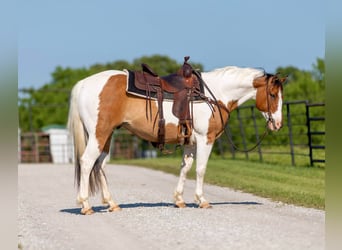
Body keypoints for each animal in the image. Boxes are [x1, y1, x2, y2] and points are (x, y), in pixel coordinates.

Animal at [67, 59, 286, 215]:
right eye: (273, 95)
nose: (277, 124)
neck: (215, 94)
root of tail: (84, 84)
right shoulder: (205, 139)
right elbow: (200, 169)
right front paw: (201, 200)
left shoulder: (190, 141)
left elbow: (185, 168)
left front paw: (179, 200)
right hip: (99, 134)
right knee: (87, 162)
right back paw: (85, 205)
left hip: (106, 136)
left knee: (100, 165)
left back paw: (112, 203)